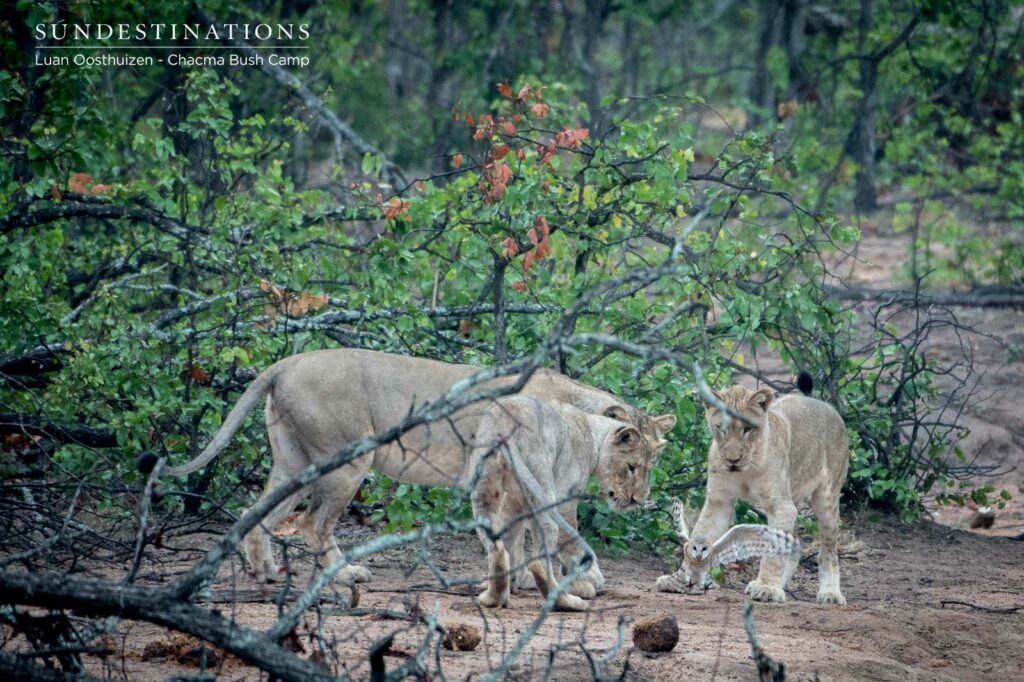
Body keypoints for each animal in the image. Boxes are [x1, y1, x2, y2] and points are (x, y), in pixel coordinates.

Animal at [163, 349, 675, 589]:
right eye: (632, 466)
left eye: (652, 464)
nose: (638, 500)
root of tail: (286, 362)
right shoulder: (538, 478)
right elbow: (555, 529)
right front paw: (584, 577)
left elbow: (515, 535)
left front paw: (519, 577)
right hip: (347, 460)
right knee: (312, 522)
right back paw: (345, 575)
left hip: (294, 462)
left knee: (258, 515)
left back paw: (266, 572)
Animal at [469, 396, 664, 611]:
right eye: (631, 467)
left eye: (648, 469)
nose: (637, 499)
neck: (591, 433)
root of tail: (503, 426)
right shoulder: (565, 498)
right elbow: (570, 541)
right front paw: (582, 583)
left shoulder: (514, 500)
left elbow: (511, 536)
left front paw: (511, 583)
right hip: (544, 486)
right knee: (541, 554)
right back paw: (567, 601)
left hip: (485, 489)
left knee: (497, 547)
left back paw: (493, 597)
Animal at [655, 376, 849, 604]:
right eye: (721, 428)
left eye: (747, 429)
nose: (732, 460)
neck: (745, 471)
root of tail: (821, 403)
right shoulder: (719, 502)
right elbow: (701, 533)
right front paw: (680, 578)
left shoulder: (780, 506)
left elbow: (774, 551)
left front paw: (767, 588)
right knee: (795, 544)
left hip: (826, 499)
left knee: (828, 551)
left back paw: (830, 592)